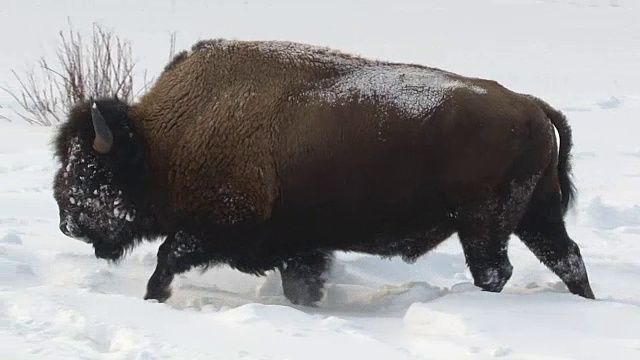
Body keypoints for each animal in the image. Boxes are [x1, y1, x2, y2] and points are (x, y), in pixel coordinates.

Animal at [51, 38, 596, 306]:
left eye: (91, 171)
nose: (67, 222)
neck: (164, 141)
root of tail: (530, 106)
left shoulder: (216, 229)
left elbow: (167, 257)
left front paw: (153, 299)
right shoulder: (300, 248)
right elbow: (302, 283)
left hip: (484, 224)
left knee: (495, 270)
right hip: (534, 215)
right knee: (565, 257)